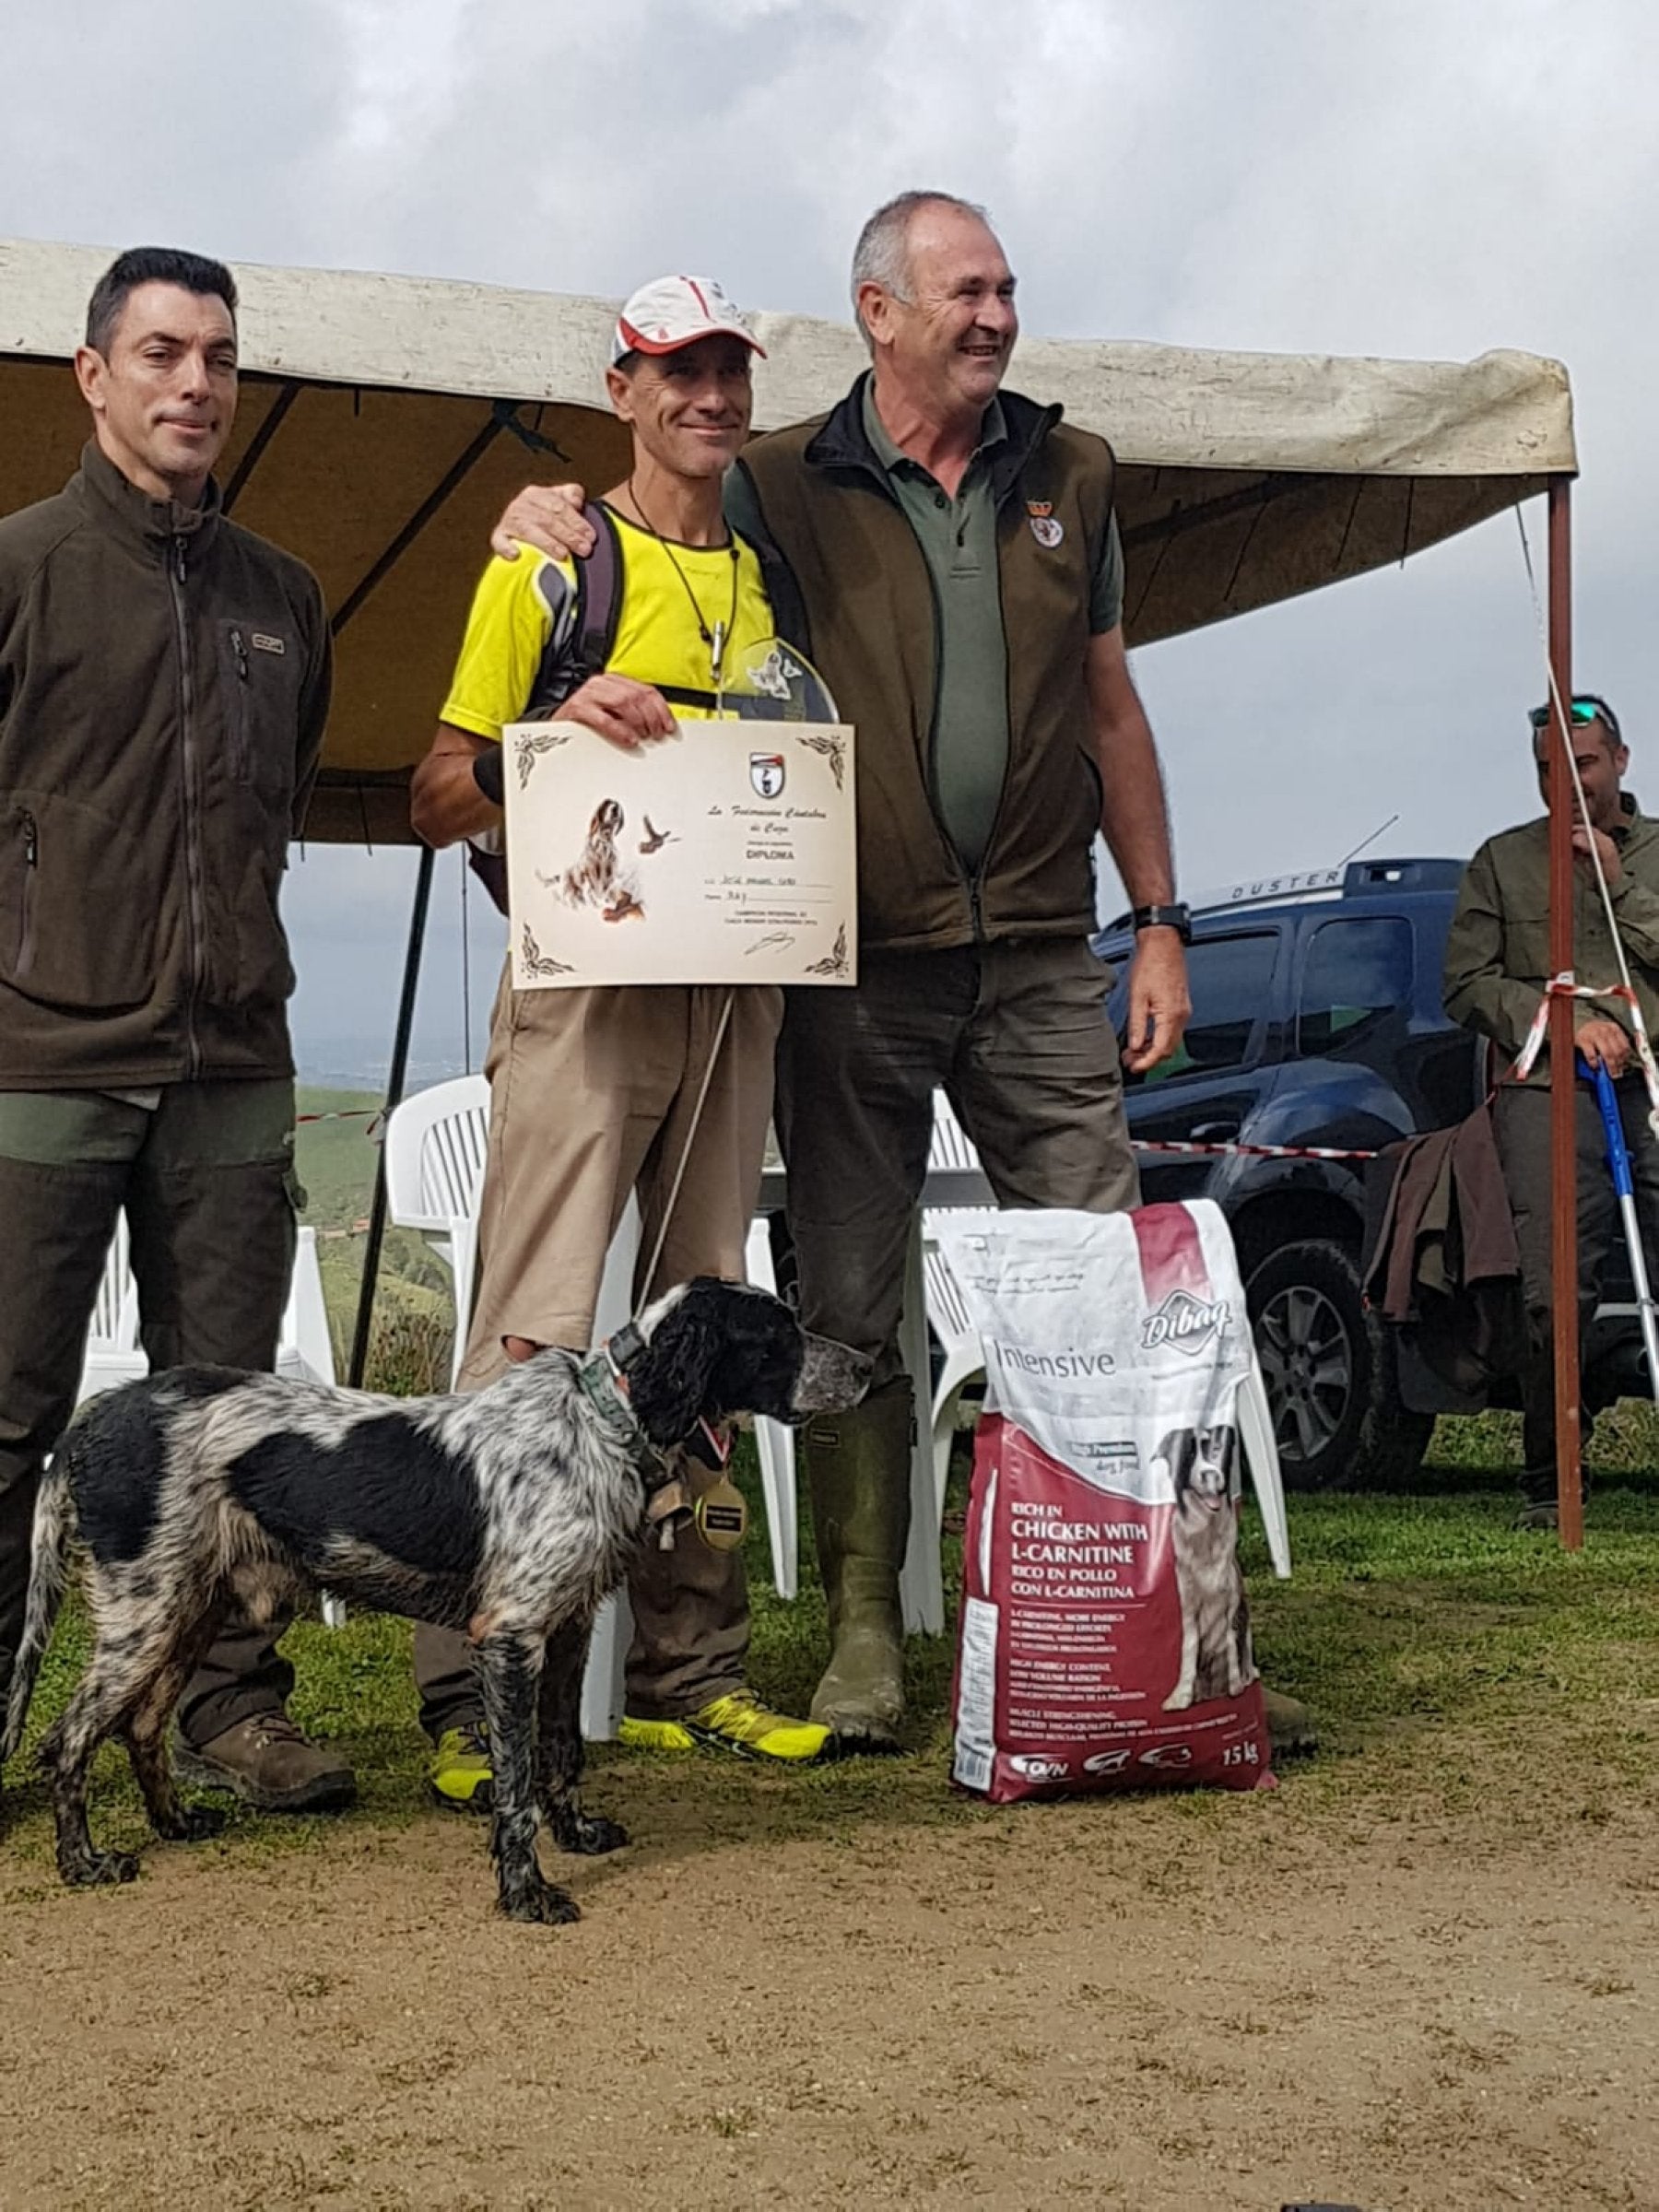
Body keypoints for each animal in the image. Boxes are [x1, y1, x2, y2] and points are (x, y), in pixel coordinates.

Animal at [3, 1283, 871, 1920]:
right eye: (777, 1334)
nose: (869, 1366)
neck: (605, 1419)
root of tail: (92, 1421)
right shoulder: (511, 1638)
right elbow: (516, 1783)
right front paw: (527, 1893)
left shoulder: (569, 1626)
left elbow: (563, 1752)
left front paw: (579, 1834)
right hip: (144, 1614)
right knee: (65, 1738)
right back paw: (83, 1862)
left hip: (189, 1607)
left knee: (143, 1726)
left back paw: (177, 1824)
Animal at [1159, 1424, 1256, 1716]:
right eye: (1189, 1453)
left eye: (1217, 1449)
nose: (1211, 1474)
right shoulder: (1189, 1608)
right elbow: (1189, 1651)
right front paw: (1182, 1696)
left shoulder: (1231, 1605)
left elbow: (1232, 1648)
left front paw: (1235, 1688)